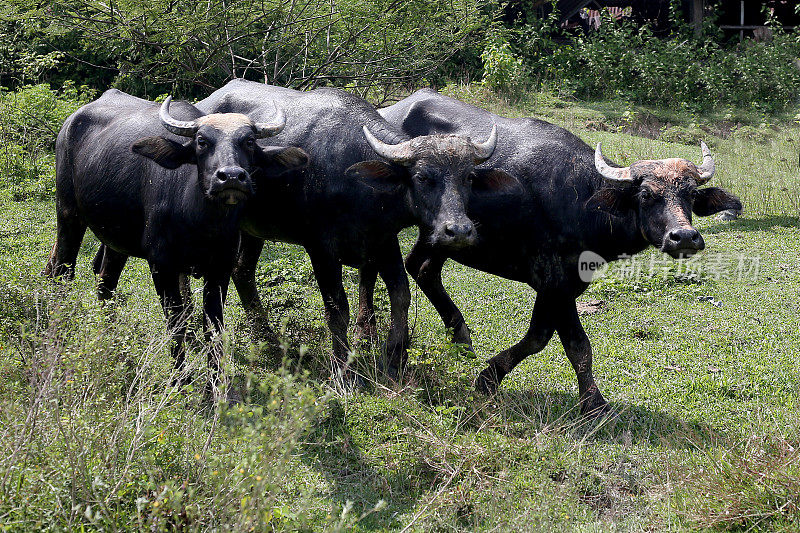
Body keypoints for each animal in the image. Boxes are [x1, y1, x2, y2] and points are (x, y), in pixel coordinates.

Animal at [43, 89, 308, 390]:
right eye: (202, 141)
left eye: (249, 141)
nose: (230, 177)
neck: (200, 222)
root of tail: (70, 124)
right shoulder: (162, 265)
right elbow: (176, 321)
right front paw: (180, 378)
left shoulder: (220, 268)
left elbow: (213, 325)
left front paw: (216, 380)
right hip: (68, 214)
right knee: (62, 272)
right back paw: (58, 333)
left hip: (116, 240)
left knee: (105, 281)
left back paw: (112, 341)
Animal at [197, 80, 516, 382]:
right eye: (423, 177)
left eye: (468, 177)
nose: (458, 231)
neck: (354, 176)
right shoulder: (320, 247)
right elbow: (338, 309)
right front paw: (344, 370)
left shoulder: (383, 238)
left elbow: (400, 294)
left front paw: (394, 358)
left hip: (254, 230)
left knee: (242, 271)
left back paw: (269, 338)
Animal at [376, 89, 744, 416]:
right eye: (646, 195)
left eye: (689, 195)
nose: (684, 237)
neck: (583, 200)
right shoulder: (555, 281)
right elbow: (577, 345)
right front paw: (595, 405)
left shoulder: (564, 285)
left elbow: (538, 337)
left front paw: (488, 377)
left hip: (445, 236)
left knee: (421, 266)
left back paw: (462, 341)